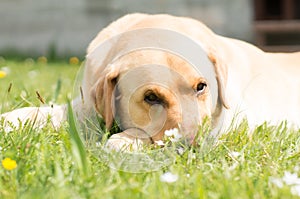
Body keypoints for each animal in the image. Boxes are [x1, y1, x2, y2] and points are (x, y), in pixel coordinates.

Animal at [0, 13, 300, 148]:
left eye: (201, 87)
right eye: (151, 97)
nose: (191, 145)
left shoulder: (229, 121)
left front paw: (123, 141)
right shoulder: (84, 105)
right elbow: (43, 112)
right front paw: (11, 119)